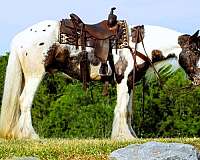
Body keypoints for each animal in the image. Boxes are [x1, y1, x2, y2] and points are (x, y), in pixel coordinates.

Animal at [0, 17, 183, 139]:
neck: (136, 43)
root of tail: (20, 38)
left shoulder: (130, 83)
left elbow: (129, 111)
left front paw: (131, 136)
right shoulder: (123, 81)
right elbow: (122, 109)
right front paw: (123, 137)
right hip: (35, 75)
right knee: (25, 101)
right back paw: (30, 136)